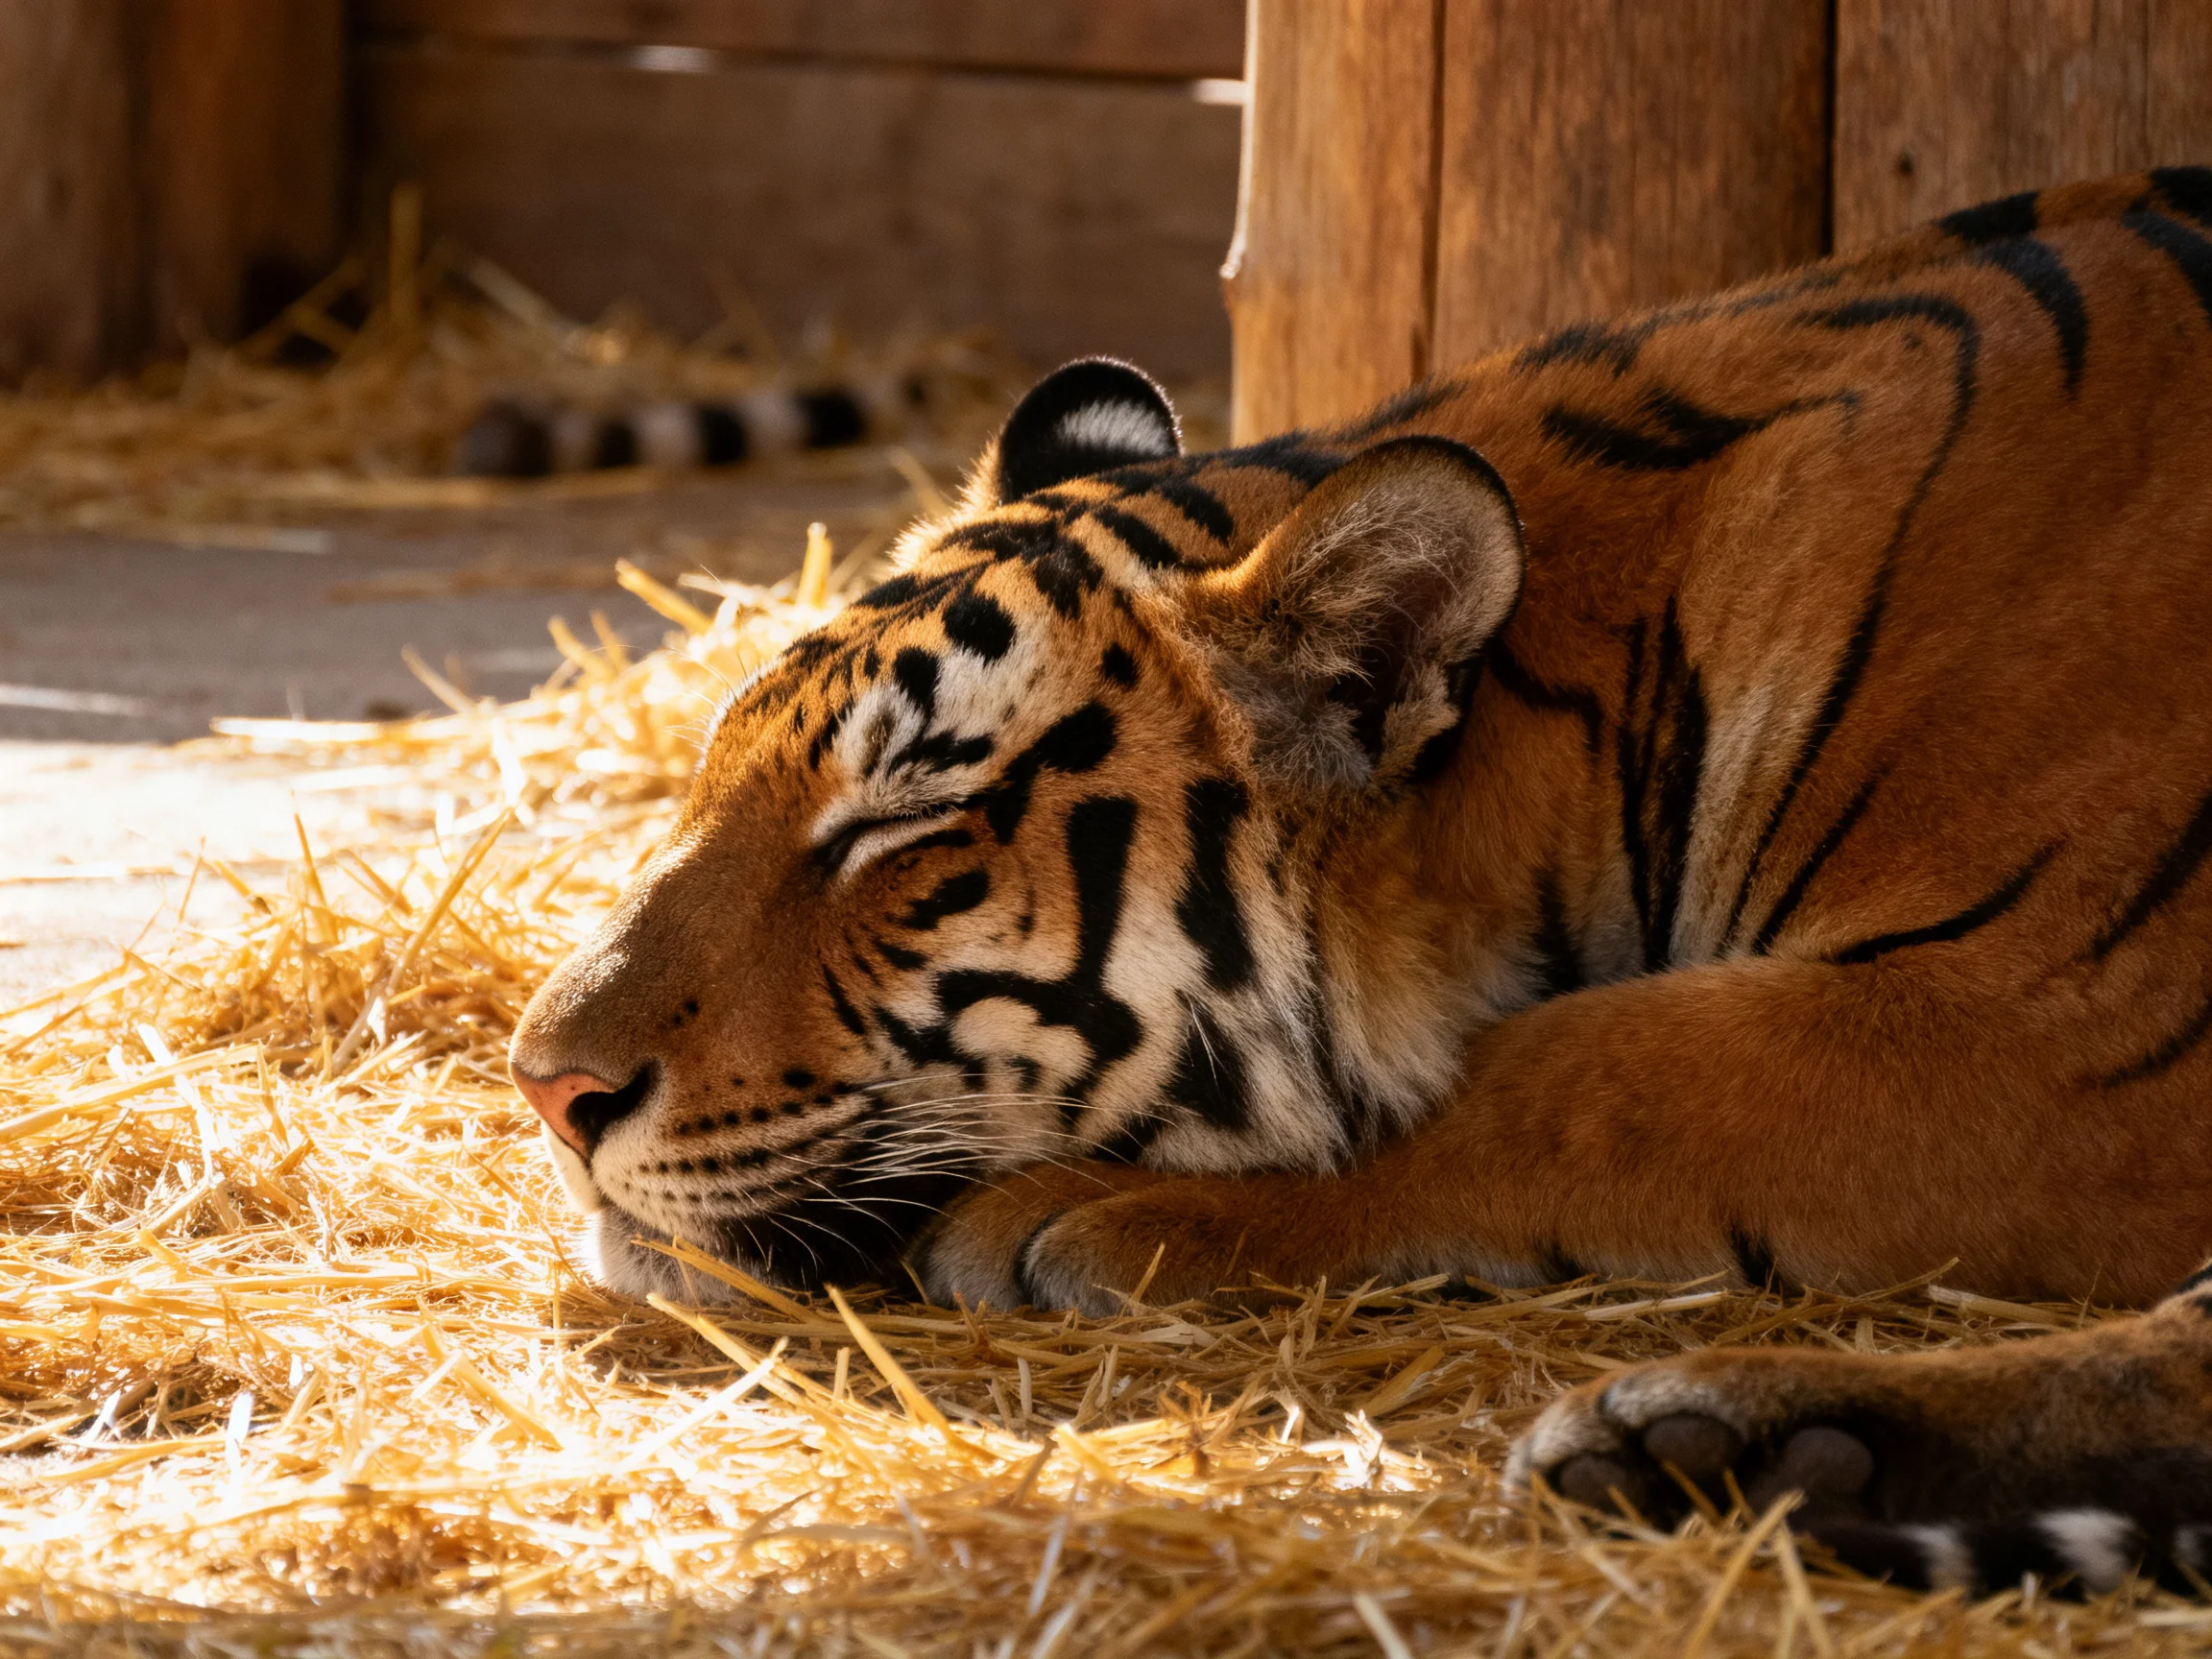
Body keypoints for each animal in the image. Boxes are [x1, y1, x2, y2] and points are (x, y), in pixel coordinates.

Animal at [511, 169, 2212, 1595]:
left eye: (902, 826)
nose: (546, 1089)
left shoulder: (2052, 1021)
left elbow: (1577, 1067)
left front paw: (1083, 1212)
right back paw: (1743, 1457)